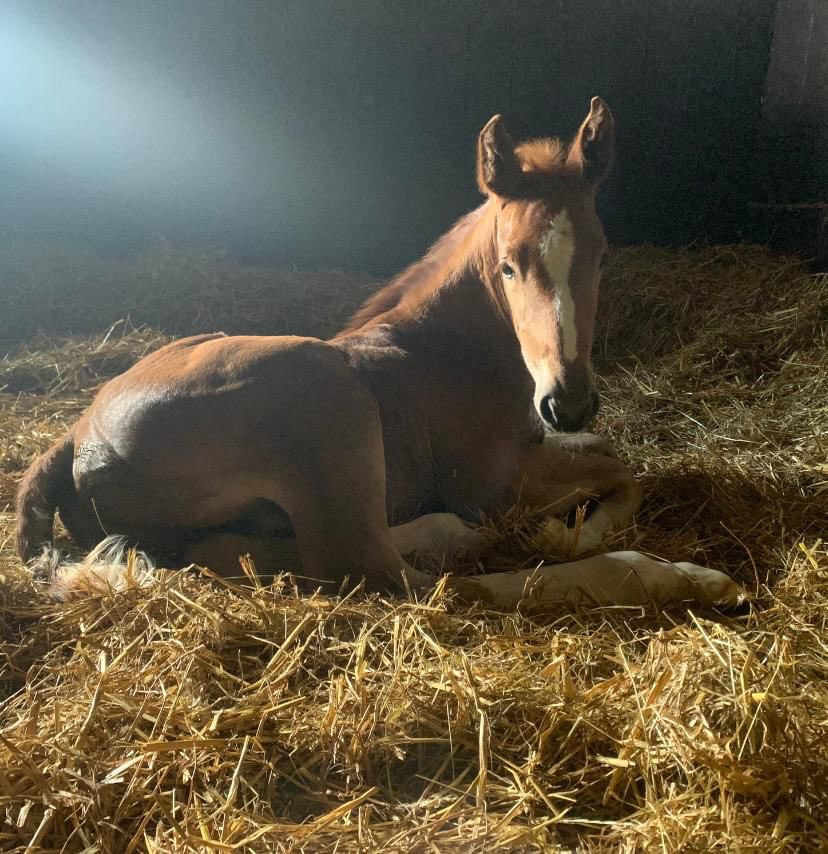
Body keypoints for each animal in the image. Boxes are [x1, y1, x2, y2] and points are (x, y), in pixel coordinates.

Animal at [16, 98, 740, 609]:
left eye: (602, 254)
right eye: (509, 265)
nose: (568, 402)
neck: (451, 352)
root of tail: (73, 434)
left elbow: (615, 458)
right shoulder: (499, 481)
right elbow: (620, 471)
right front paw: (571, 532)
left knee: (256, 554)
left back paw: (447, 532)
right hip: (331, 401)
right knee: (400, 581)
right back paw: (683, 577)